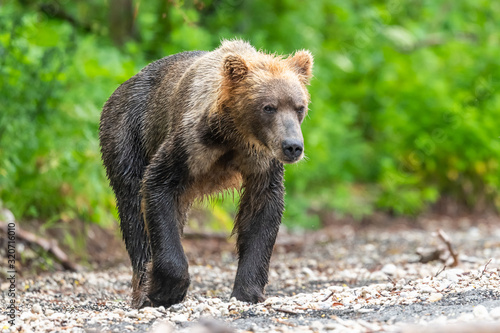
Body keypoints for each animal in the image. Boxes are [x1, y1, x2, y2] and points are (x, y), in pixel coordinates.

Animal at [98, 40, 312, 308]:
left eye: (299, 107)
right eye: (269, 107)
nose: (292, 146)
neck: (234, 134)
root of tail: (121, 87)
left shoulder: (262, 161)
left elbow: (262, 210)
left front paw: (248, 291)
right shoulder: (190, 143)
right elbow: (157, 183)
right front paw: (165, 290)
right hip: (127, 133)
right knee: (133, 209)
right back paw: (143, 288)